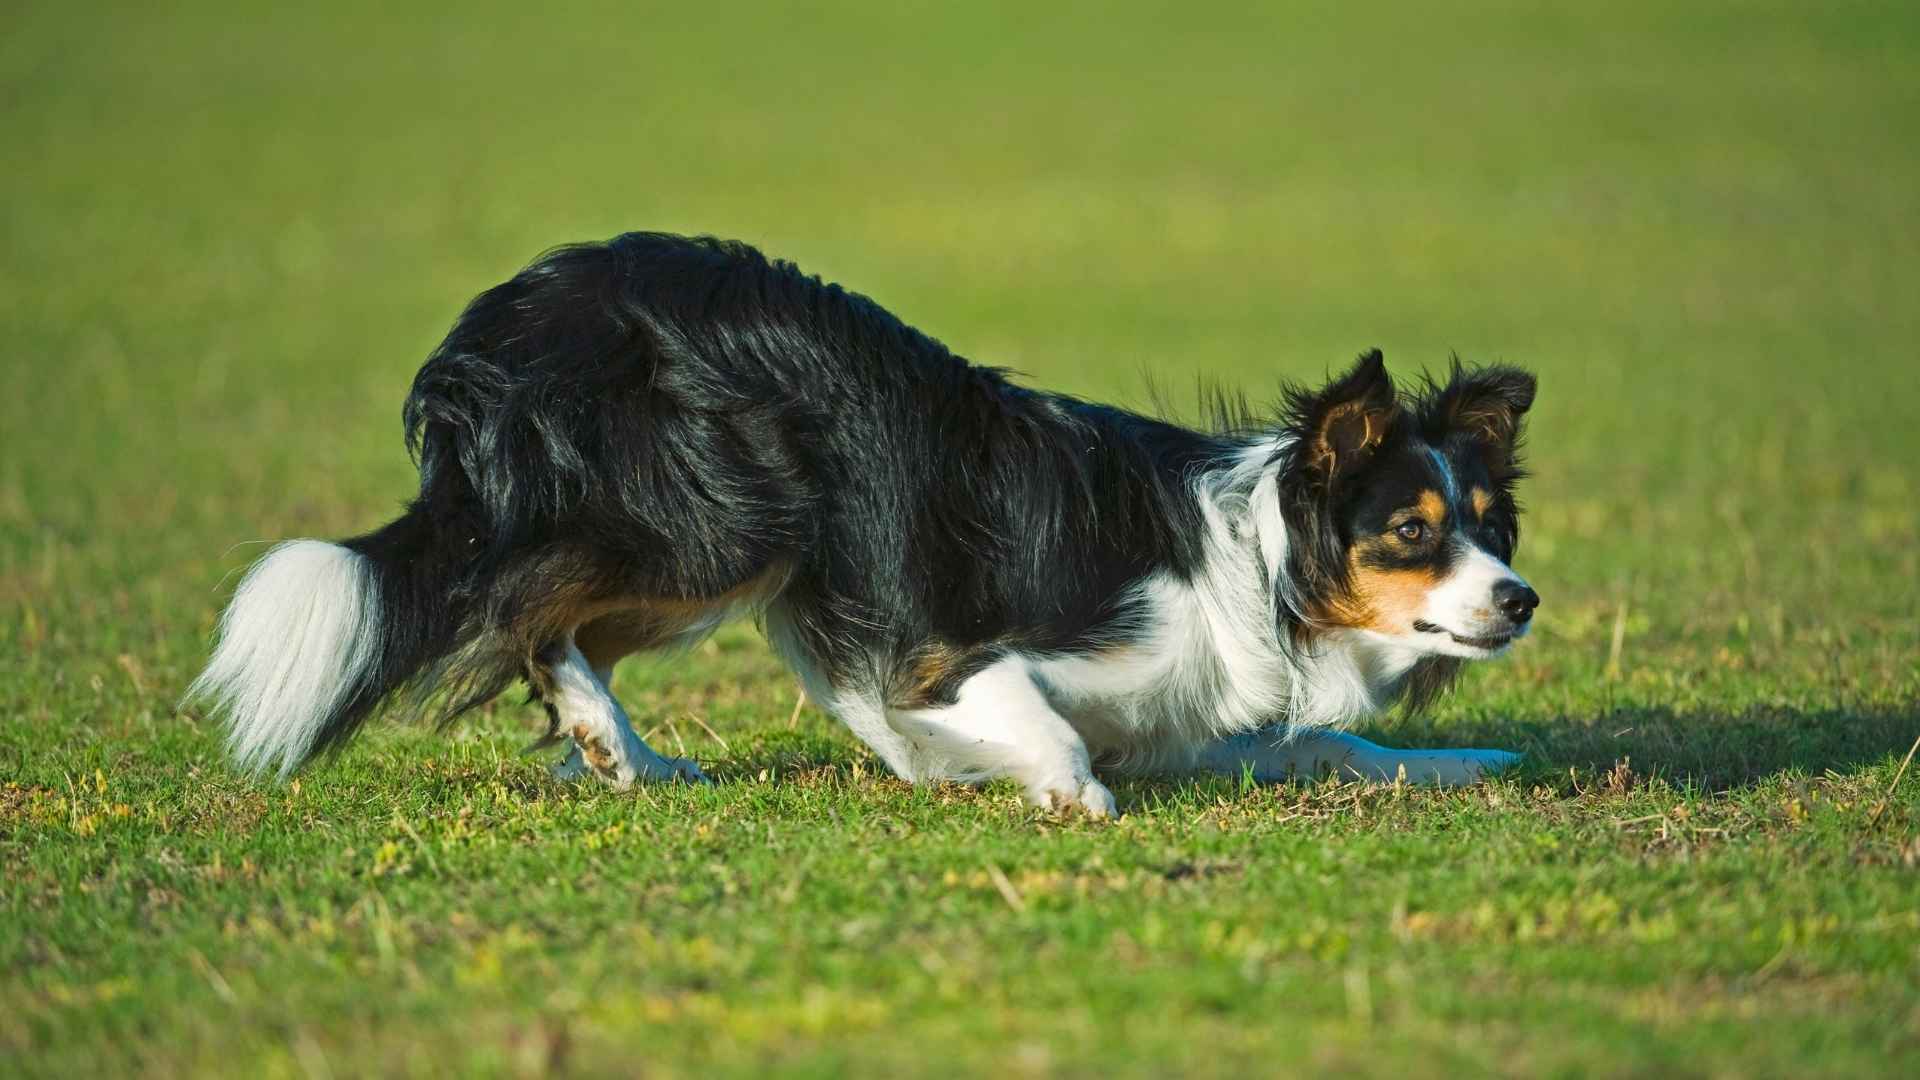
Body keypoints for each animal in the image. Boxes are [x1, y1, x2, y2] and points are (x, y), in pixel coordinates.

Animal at [187, 231, 1536, 810]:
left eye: (1493, 530)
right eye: (1412, 531)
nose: (1521, 602)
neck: (1266, 559)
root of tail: (517, 309)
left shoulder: (1188, 716)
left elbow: (1339, 744)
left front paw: (1467, 762)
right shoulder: (946, 652)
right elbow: (1036, 717)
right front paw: (1063, 796)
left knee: (556, 624)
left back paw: (631, 755)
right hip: (730, 521)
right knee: (522, 608)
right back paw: (610, 741)